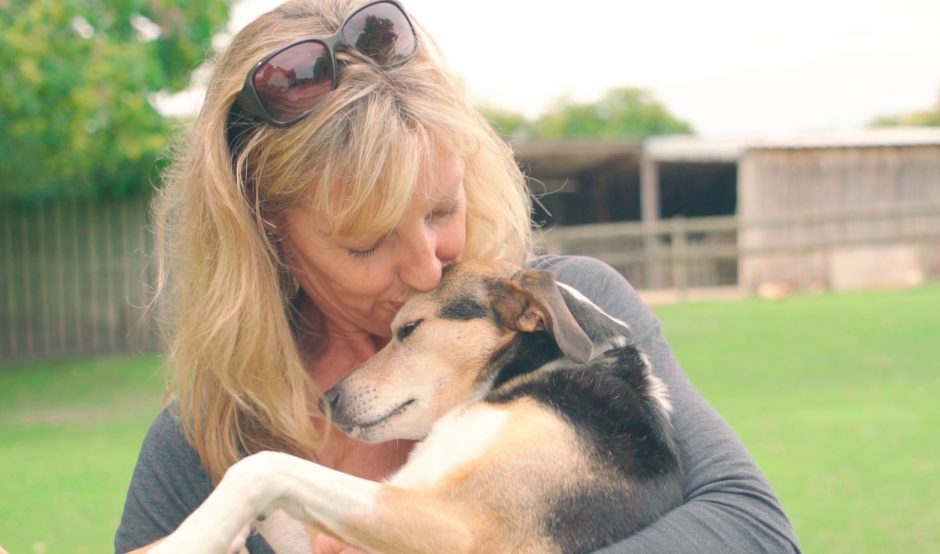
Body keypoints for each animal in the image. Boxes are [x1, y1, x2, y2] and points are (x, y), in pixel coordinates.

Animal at [152, 260, 684, 552]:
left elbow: (265, 467)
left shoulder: (455, 525)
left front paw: (186, 540)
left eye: (407, 329)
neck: (528, 373)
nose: (328, 399)